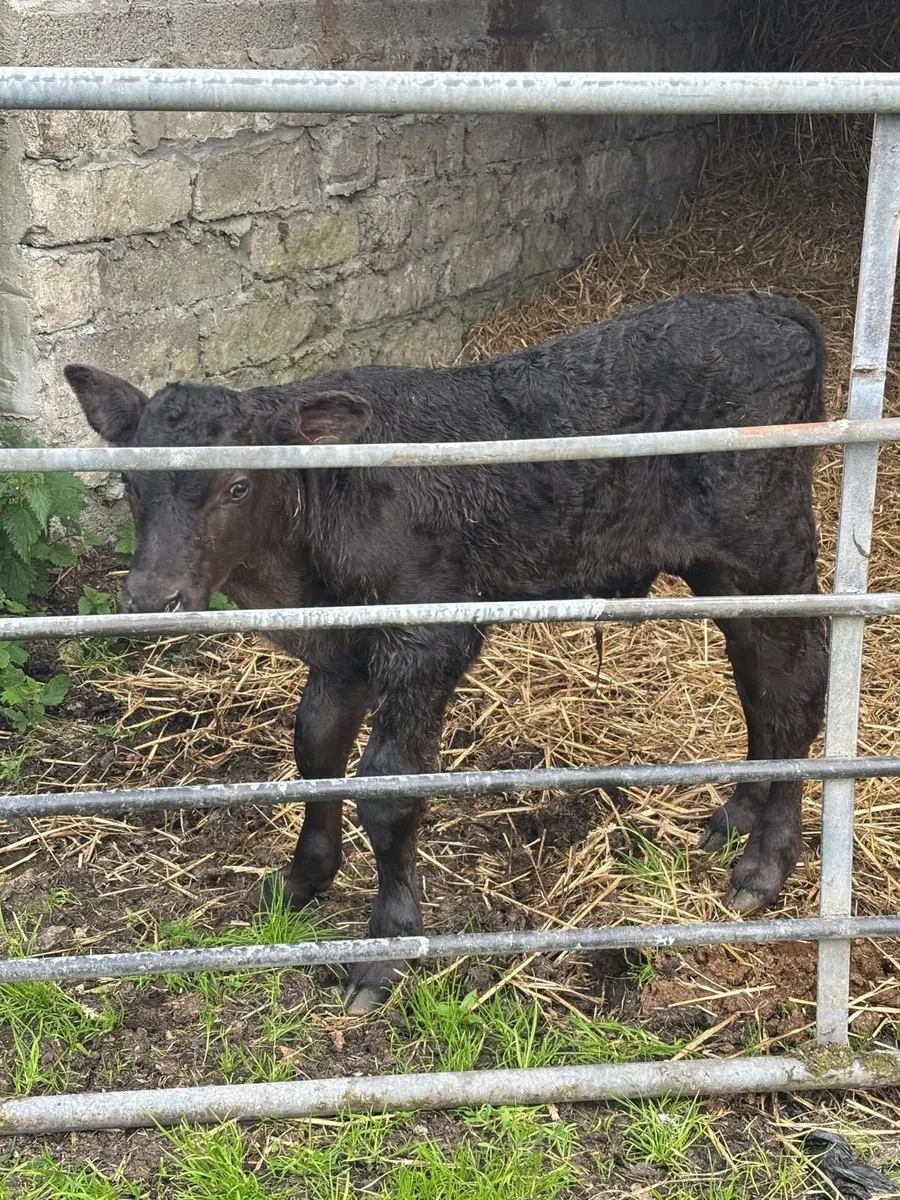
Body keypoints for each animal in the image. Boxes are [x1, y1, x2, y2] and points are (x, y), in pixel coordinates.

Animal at [65, 290, 828, 1012]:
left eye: (239, 484)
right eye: (130, 483)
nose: (152, 596)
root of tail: (768, 306)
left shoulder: (428, 641)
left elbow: (389, 788)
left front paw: (385, 950)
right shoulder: (342, 653)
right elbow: (315, 752)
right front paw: (300, 881)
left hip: (766, 551)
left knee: (795, 689)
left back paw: (764, 864)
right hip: (729, 577)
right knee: (760, 687)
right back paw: (737, 814)